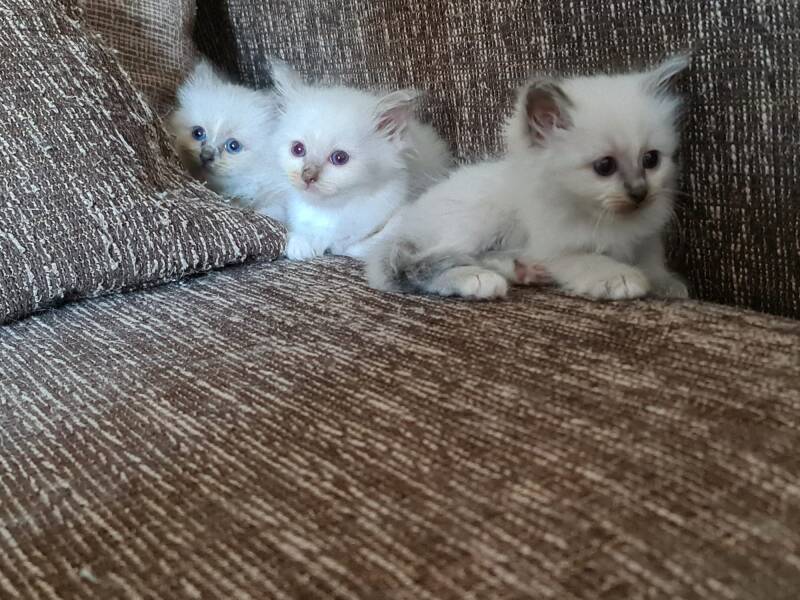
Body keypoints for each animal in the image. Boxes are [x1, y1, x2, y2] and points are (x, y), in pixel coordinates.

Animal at [268, 61, 454, 260]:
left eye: (339, 158)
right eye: (298, 149)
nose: (307, 176)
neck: (334, 211)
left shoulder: (405, 210)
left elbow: (361, 246)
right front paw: (302, 244)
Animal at [366, 55, 691, 301]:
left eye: (651, 160)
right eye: (604, 166)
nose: (639, 192)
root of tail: (411, 216)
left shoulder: (646, 239)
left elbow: (653, 261)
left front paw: (666, 284)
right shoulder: (553, 249)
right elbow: (588, 260)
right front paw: (620, 277)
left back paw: (522, 271)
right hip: (479, 220)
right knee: (420, 264)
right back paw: (478, 279)